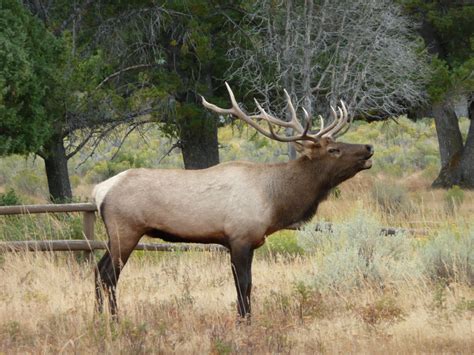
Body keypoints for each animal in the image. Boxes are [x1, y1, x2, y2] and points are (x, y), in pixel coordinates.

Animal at [92, 83, 374, 320]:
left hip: (116, 235)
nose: (369, 147)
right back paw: (115, 320)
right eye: (333, 150)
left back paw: (98, 318)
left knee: (97, 270)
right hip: (125, 230)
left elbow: (244, 286)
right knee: (109, 275)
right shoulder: (240, 238)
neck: (274, 201)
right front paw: (244, 322)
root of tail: (99, 190)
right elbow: (244, 285)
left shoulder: (243, 242)